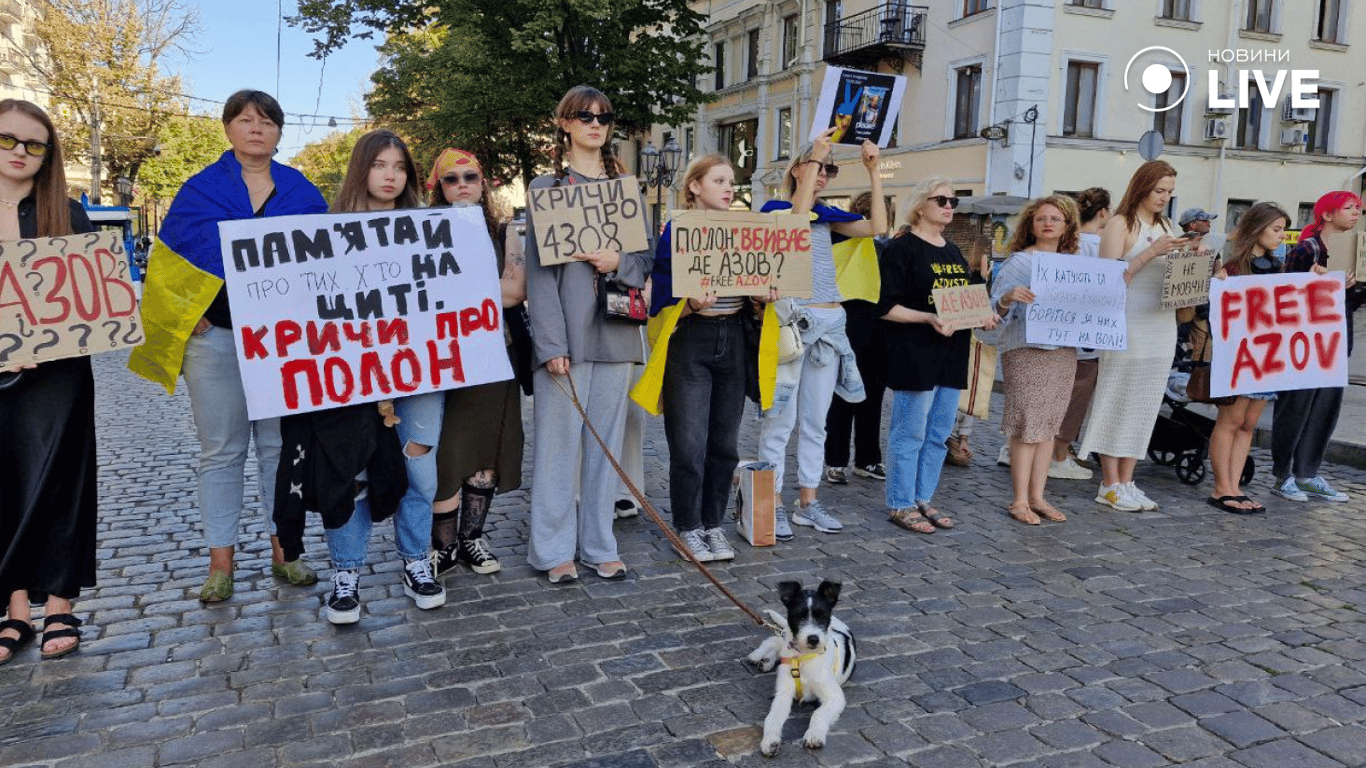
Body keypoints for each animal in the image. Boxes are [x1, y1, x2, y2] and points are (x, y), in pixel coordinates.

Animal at [748, 579, 852, 754]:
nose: (813, 639)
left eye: (822, 617)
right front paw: (769, 739)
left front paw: (814, 735)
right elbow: (771, 718)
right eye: (799, 616)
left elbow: (818, 714)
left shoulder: (835, 697)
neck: (802, 657)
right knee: (774, 640)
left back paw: (766, 660)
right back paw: (759, 656)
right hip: (784, 639)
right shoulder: (783, 694)